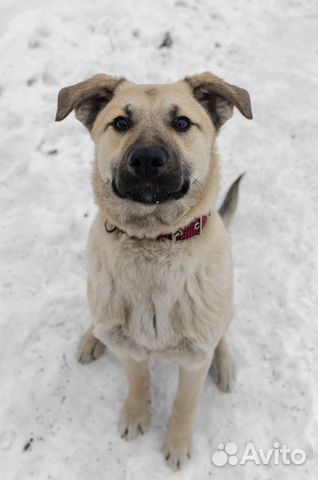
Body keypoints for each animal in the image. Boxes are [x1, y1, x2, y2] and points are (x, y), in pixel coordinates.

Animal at [56, 73, 252, 470]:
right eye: (120, 123)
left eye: (182, 123)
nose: (147, 159)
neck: (154, 242)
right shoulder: (130, 352)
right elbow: (139, 382)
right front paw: (136, 415)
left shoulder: (194, 362)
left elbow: (185, 404)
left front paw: (176, 444)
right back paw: (92, 337)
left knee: (221, 334)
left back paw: (223, 364)